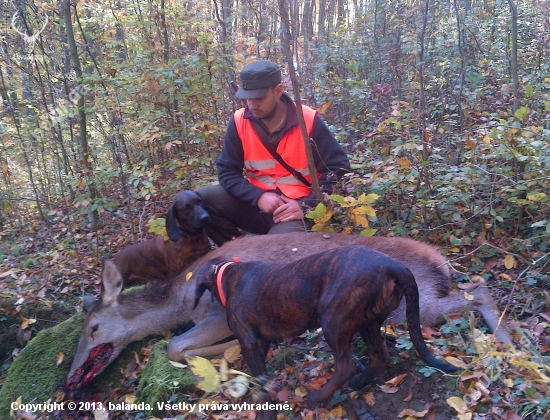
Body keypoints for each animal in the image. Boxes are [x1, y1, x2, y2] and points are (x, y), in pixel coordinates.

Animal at [195, 244, 462, 418]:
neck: (225, 273)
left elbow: (262, 383)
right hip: (367, 322)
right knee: (379, 357)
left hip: (333, 321)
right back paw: (359, 382)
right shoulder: (260, 341)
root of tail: (393, 265)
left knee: (345, 365)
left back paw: (318, 396)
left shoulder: (248, 341)